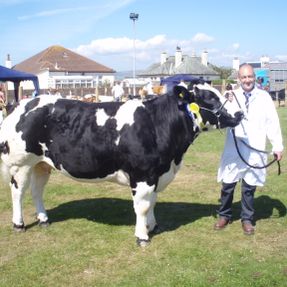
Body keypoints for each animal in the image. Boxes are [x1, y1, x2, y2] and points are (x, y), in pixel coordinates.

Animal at [0, 85, 243, 248]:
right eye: (210, 98)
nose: (240, 113)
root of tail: (20, 104)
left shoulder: (156, 174)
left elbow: (152, 202)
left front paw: (152, 226)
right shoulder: (143, 174)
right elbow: (142, 206)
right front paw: (142, 236)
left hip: (41, 163)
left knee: (36, 190)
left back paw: (43, 219)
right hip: (20, 163)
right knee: (18, 192)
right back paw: (19, 224)